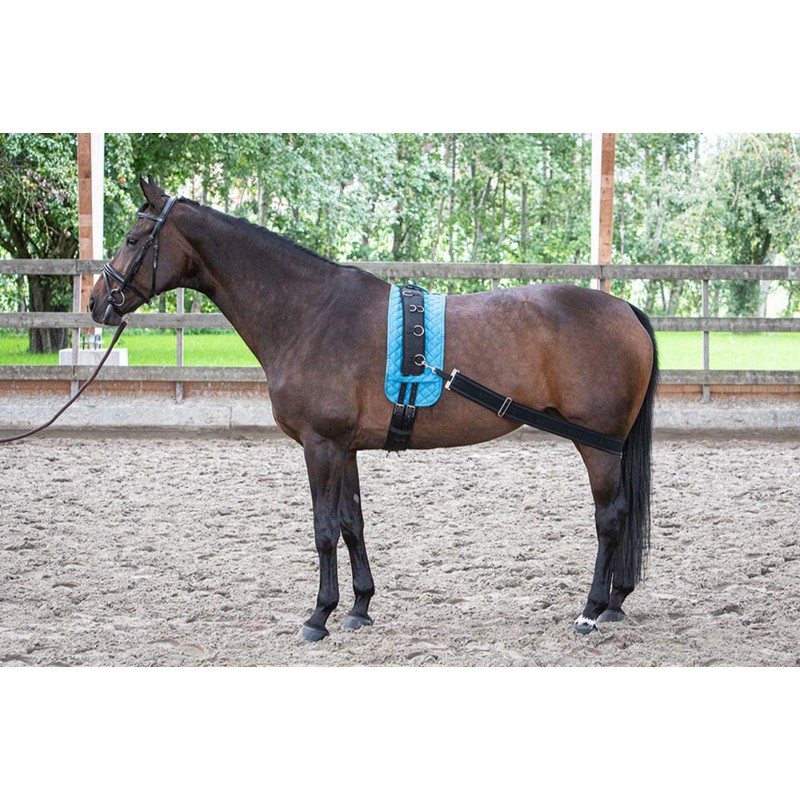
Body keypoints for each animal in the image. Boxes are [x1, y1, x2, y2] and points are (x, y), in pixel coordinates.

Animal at [90, 177, 658, 642]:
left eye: (134, 239)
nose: (98, 303)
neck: (310, 312)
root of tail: (624, 308)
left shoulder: (320, 445)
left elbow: (323, 529)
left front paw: (319, 615)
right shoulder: (345, 447)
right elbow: (351, 523)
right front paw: (359, 607)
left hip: (596, 443)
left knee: (611, 518)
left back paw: (591, 609)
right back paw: (616, 601)